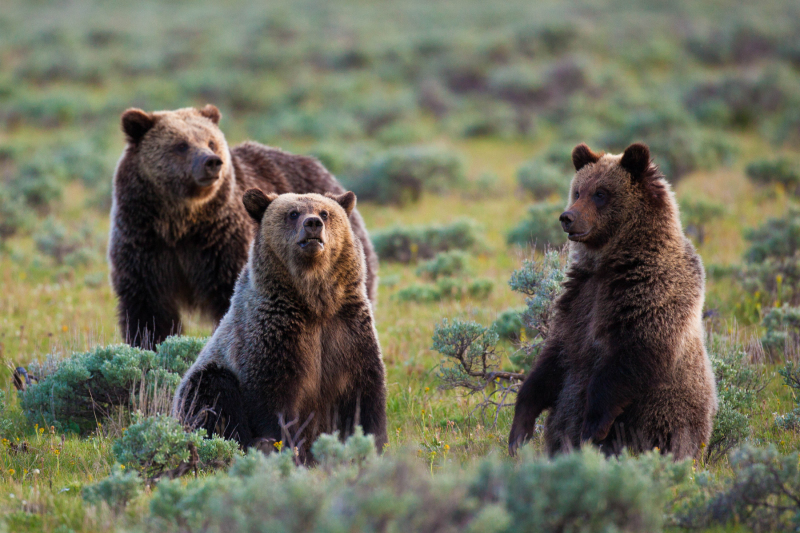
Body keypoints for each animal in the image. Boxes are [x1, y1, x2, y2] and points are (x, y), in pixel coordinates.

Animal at [108, 105, 378, 349]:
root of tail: (319, 166)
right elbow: (148, 307)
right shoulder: (144, 243)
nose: (212, 162)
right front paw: (149, 345)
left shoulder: (219, 244)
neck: (181, 222)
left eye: (211, 142)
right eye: (181, 145)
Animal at [172, 190, 387, 461]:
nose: (313, 223)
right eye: (293, 213)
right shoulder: (274, 335)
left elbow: (365, 394)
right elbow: (273, 398)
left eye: (325, 212)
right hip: (199, 386)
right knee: (212, 391)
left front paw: (373, 444)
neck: (314, 305)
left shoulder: (347, 330)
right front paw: (283, 447)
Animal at [507, 142, 717, 460]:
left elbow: (628, 359)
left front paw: (593, 427)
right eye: (578, 190)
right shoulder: (578, 300)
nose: (567, 217)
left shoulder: (648, 294)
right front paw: (520, 429)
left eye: (601, 193)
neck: (611, 263)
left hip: (668, 419)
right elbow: (552, 358)